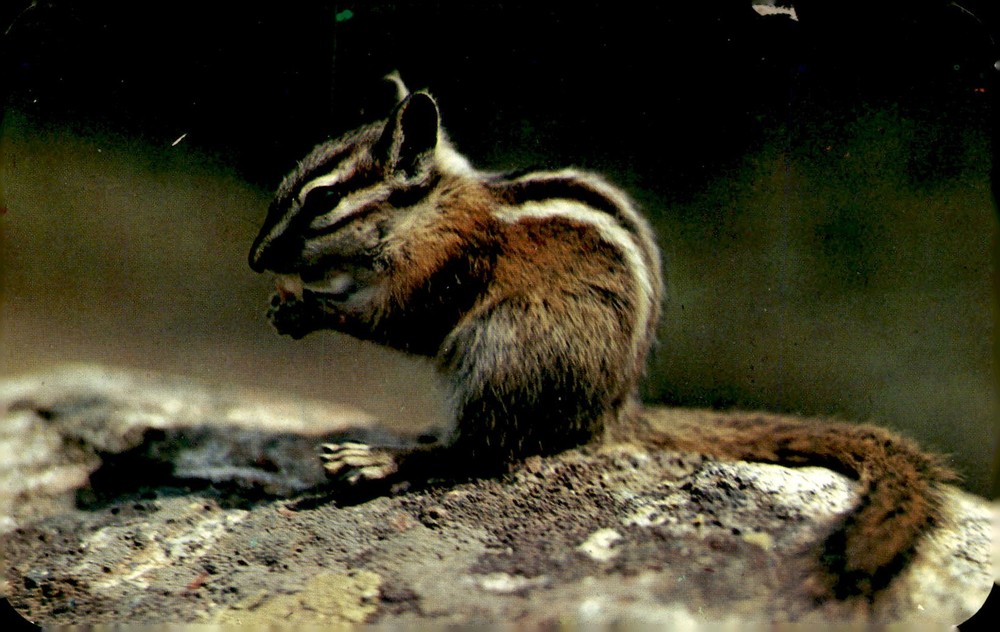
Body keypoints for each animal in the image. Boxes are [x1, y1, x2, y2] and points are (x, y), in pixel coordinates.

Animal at [248, 74, 954, 598]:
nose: (256, 259)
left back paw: (379, 459)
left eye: (320, 200)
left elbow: (397, 321)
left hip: (508, 348)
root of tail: (612, 410)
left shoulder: (445, 269)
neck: (431, 211)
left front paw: (308, 309)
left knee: (479, 451)